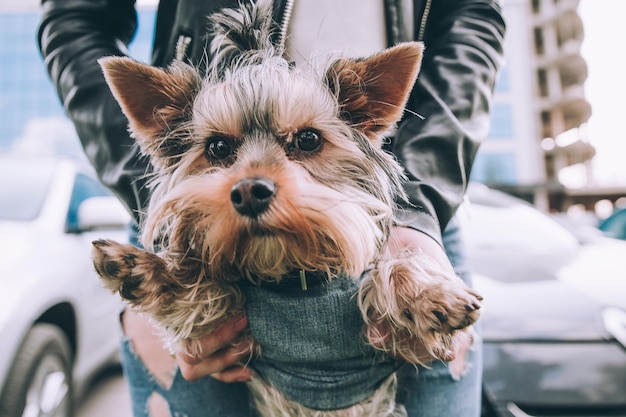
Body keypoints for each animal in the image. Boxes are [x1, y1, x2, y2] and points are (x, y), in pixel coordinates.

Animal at [92, 1, 480, 414]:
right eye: (217, 147)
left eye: (308, 139)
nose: (249, 192)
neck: (292, 274)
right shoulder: (232, 331)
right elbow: (202, 295)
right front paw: (147, 269)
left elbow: (393, 271)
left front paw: (429, 293)